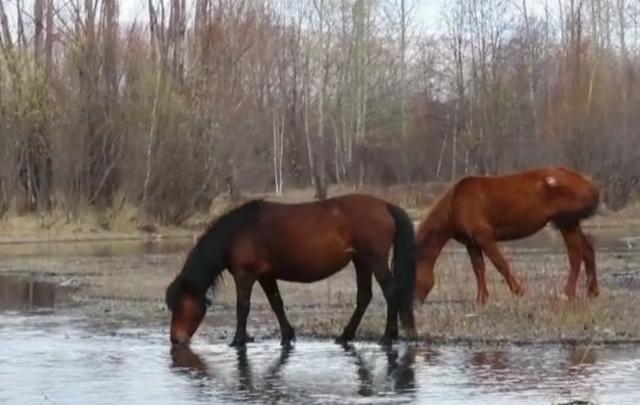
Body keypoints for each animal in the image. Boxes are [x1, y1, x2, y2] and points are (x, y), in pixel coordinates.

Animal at [165, 194, 418, 346]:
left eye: (180, 305)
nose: (175, 339)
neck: (238, 231)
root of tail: (385, 205)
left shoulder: (245, 275)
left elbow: (242, 307)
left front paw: (238, 339)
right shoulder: (266, 276)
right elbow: (276, 303)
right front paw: (287, 335)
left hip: (375, 260)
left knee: (390, 292)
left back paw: (387, 337)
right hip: (361, 261)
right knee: (364, 297)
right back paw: (346, 336)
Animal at [416, 166, 600, 304]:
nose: (414, 302)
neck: (454, 205)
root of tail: (589, 183)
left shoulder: (485, 237)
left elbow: (500, 264)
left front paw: (519, 291)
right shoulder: (472, 243)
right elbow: (478, 269)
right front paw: (482, 299)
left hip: (567, 223)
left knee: (575, 255)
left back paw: (567, 294)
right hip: (571, 224)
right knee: (588, 251)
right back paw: (592, 291)